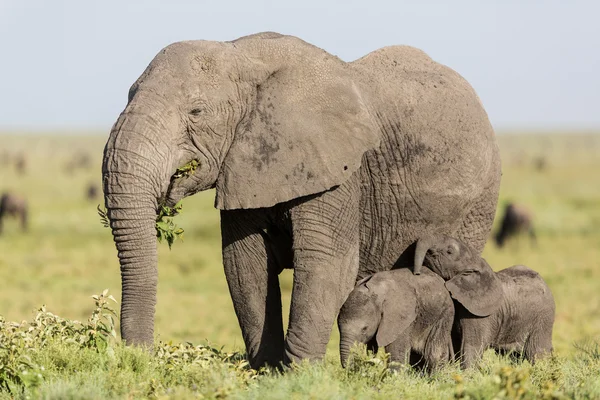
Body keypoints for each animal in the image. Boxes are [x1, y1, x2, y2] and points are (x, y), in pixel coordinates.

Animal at [104, 31, 502, 368]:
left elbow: (327, 264)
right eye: (128, 94)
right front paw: (266, 371)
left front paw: (298, 374)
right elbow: (244, 265)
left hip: (481, 200)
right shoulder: (243, 165)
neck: (243, 55)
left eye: (197, 112)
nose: (142, 358)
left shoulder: (339, 172)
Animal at [414, 234, 556, 368]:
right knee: (512, 356)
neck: (476, 263)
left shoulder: (479, 315)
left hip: (543, 319)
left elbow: (472, 345)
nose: (416, 273)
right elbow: (456, 343)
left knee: (538, 353)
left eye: (449, 251)